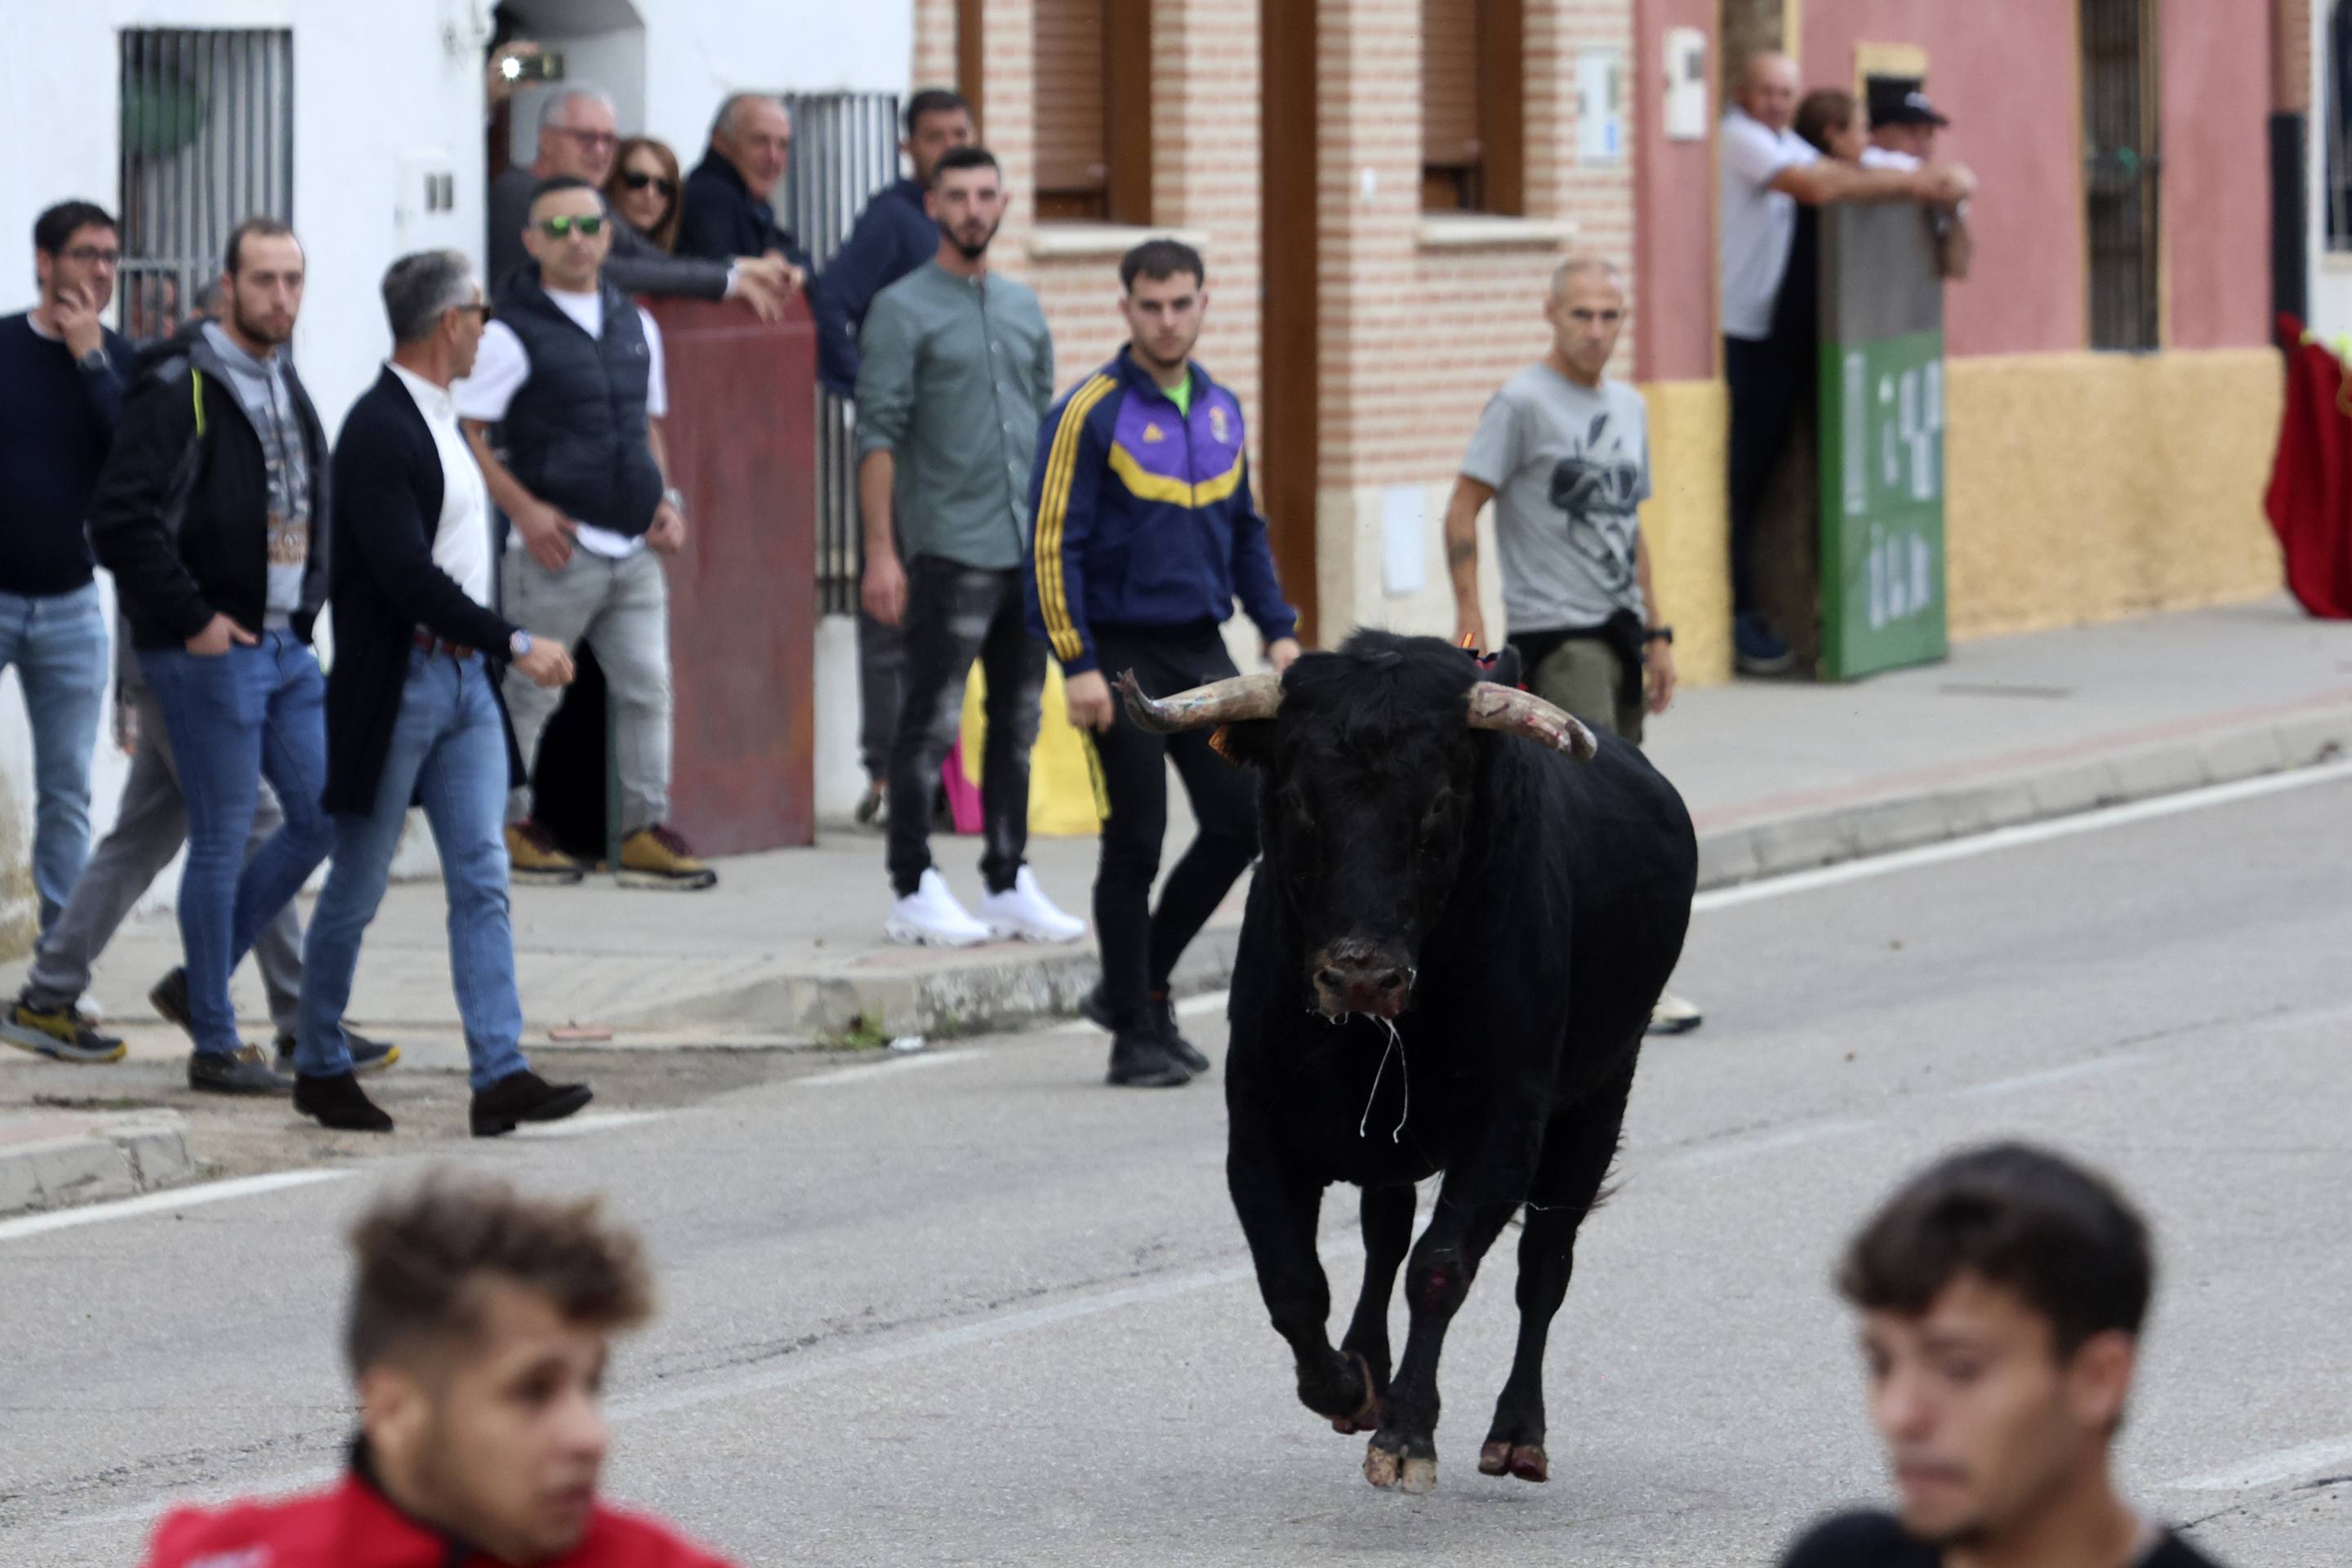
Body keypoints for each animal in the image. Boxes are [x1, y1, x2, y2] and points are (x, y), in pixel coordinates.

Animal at [1115, 630, 1693, 1494]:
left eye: (1439, 809)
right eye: (1297, 801)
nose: (1362, 974)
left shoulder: (1505, 1127)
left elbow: (1441, 1268)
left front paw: (1407, 1432)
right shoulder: (1256, 1128)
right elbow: (1293, 1281)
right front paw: (1349, 1386)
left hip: (1597, 1101)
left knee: (1542, 1265)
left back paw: (1517, 1436)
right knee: (1384, 1232)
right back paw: (1369, 1370)